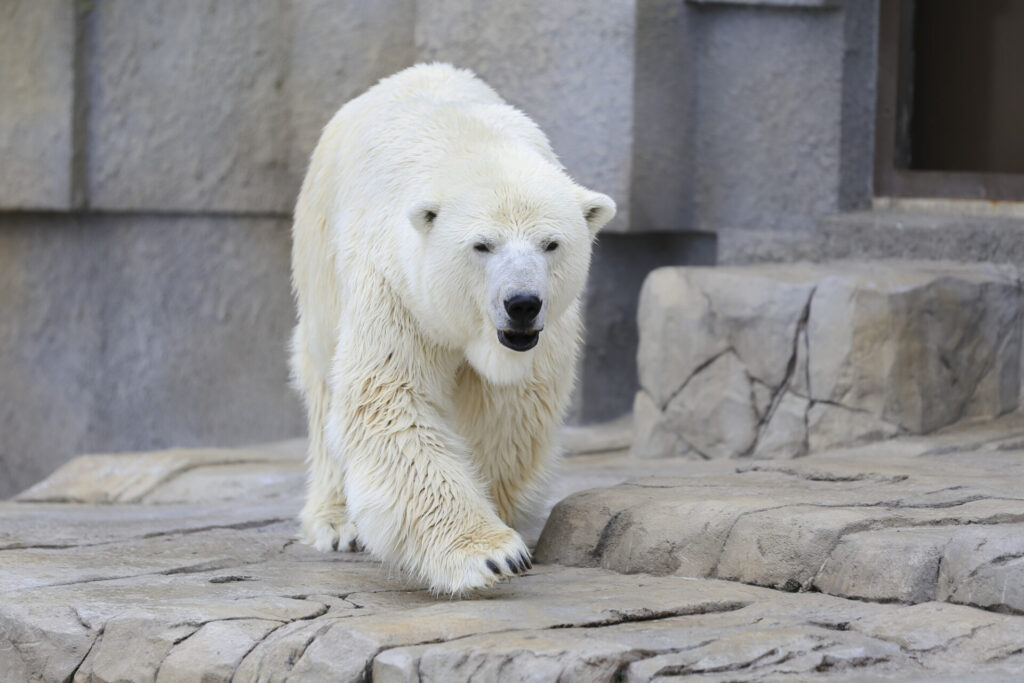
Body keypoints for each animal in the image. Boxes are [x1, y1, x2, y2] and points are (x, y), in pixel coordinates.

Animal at [288, 65, 610, 598]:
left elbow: (508, 412)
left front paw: (501, 515)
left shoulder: (543, 334)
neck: (469, 146)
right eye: (482, 245)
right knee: (321, 372)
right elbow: (390, 400)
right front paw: (492, 554)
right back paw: (335, 522)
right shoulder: (396, 286)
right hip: (319, 251)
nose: (522, 304)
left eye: (551, 243)